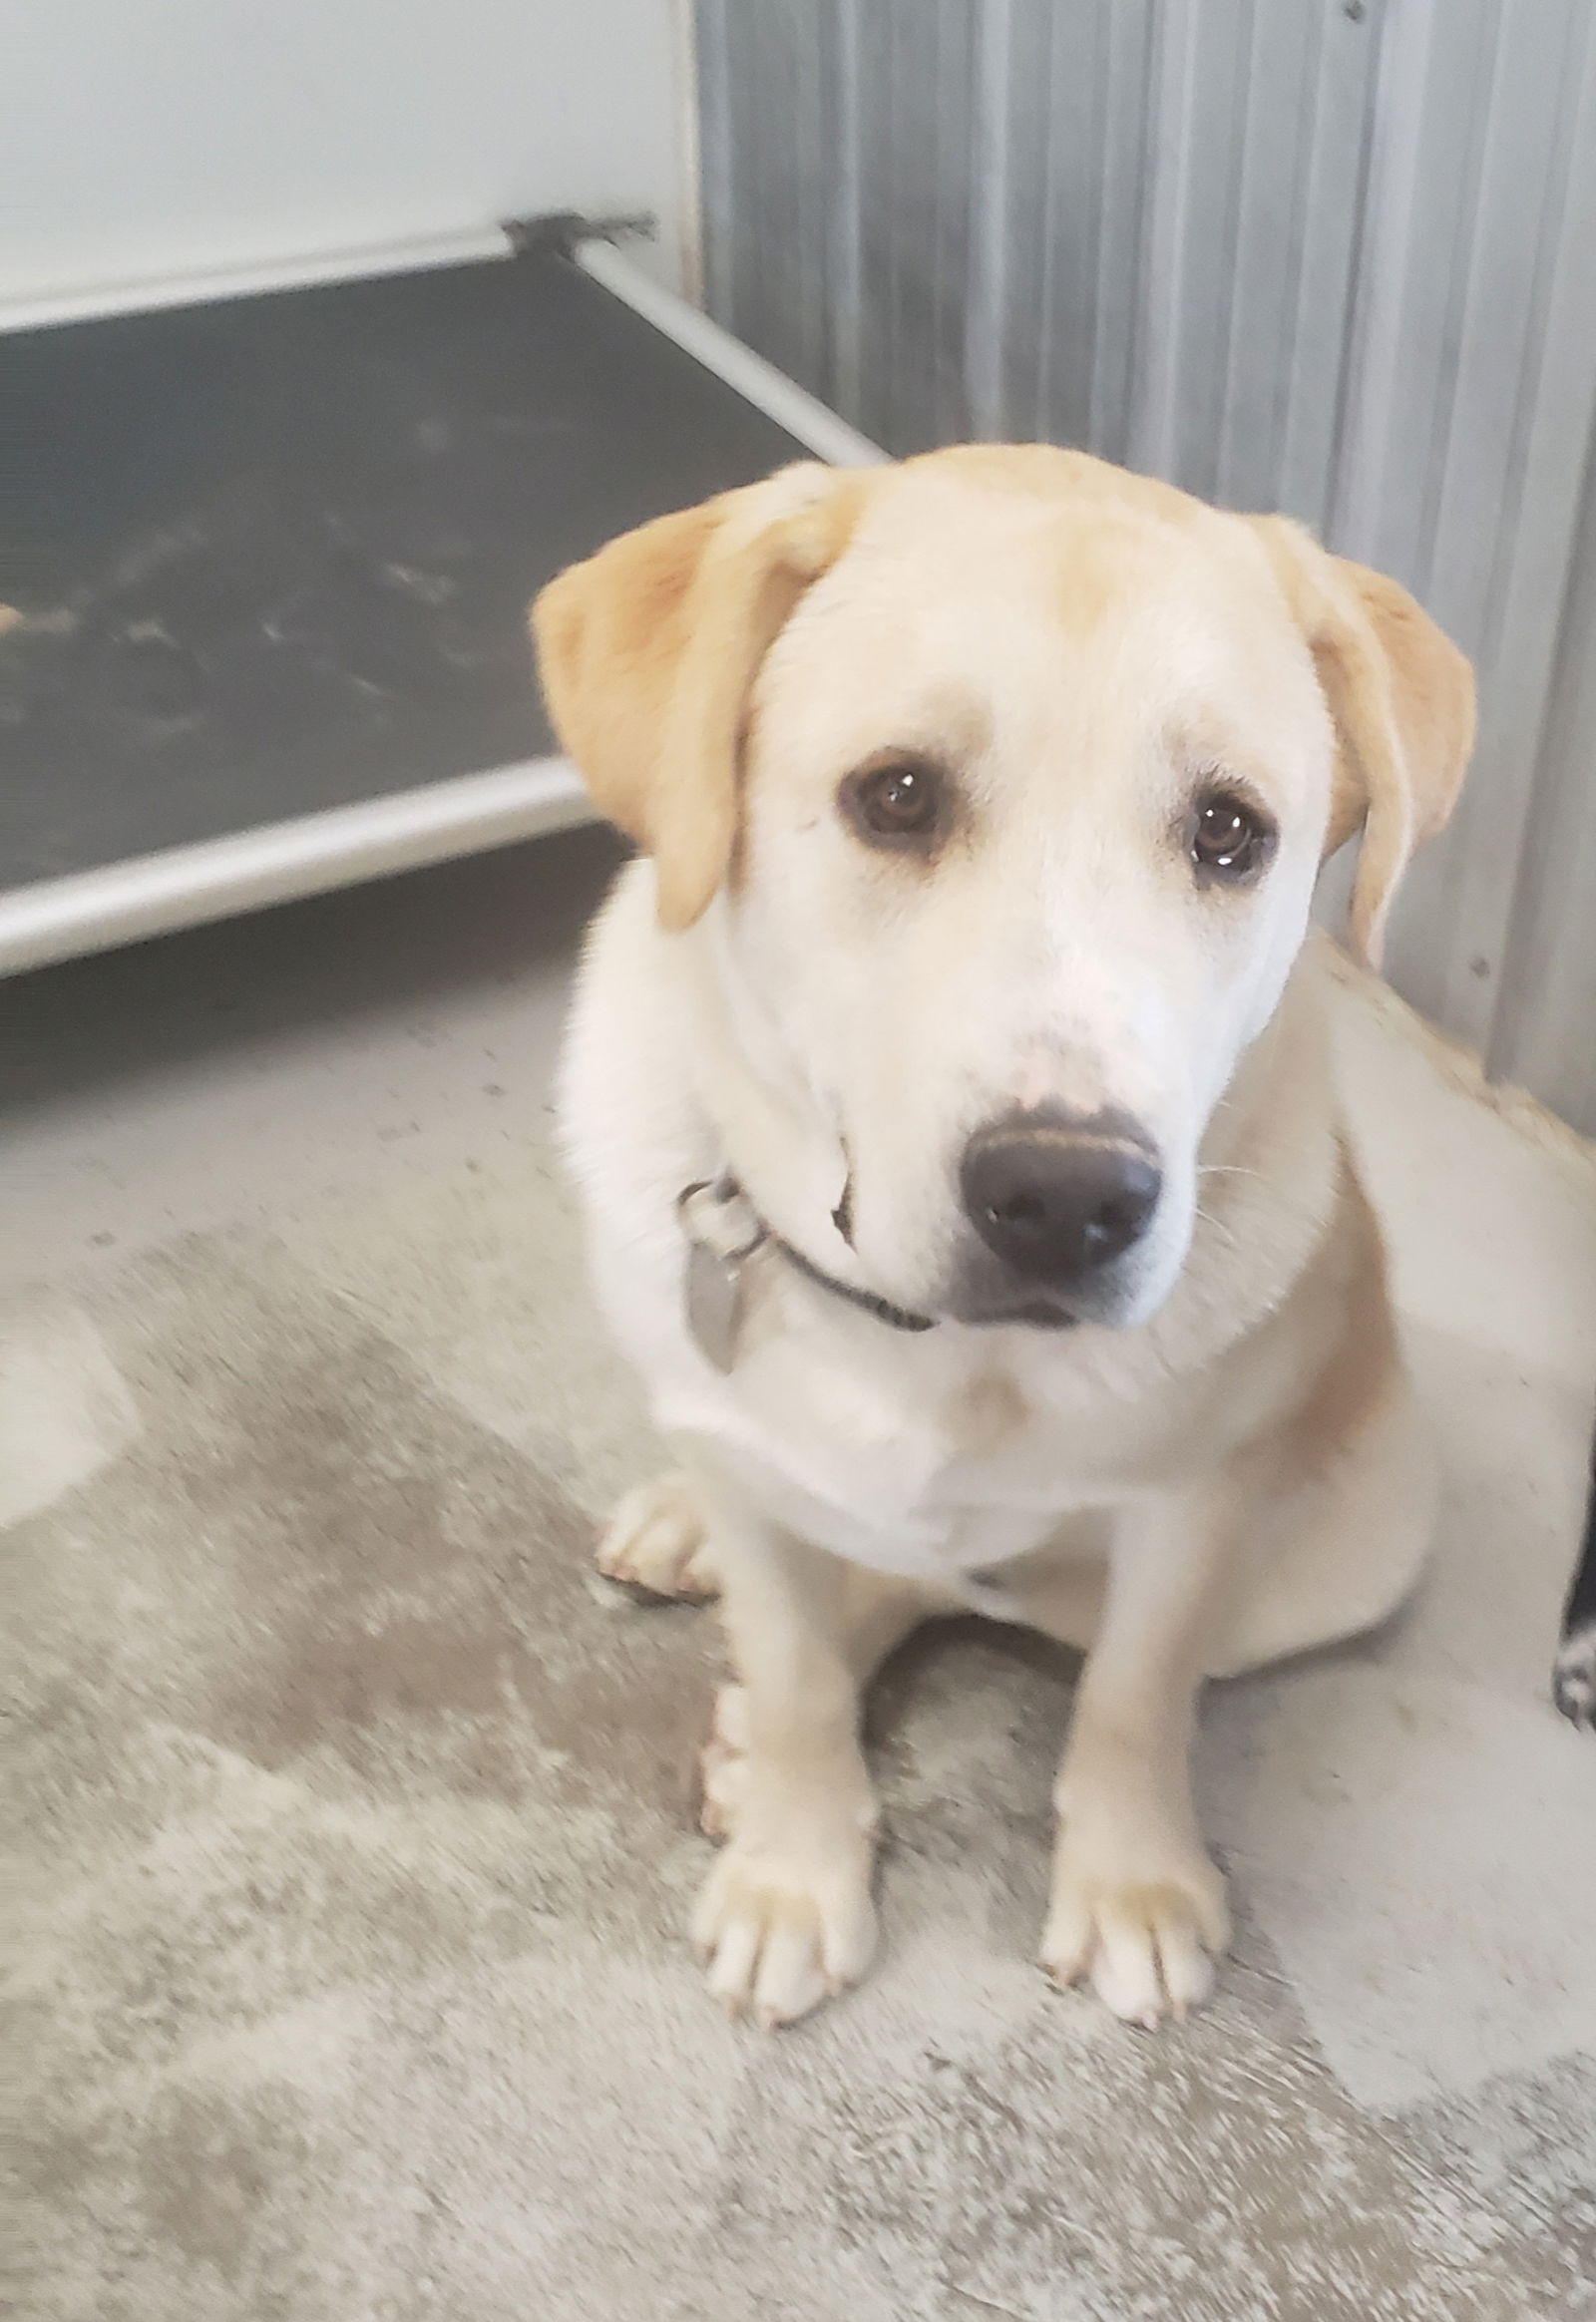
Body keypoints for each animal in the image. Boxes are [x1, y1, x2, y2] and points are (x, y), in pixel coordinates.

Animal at [534, 448, 1477, 2034]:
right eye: (898, 795)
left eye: (1232, 831)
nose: (1066, 1200)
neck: (926, 1345)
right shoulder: (753, 1481)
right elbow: (795, 1677)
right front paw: (796, 1869)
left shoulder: (1190, 1508)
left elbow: (1135, 1698)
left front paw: (1134, 1882)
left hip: (1363, 1540)